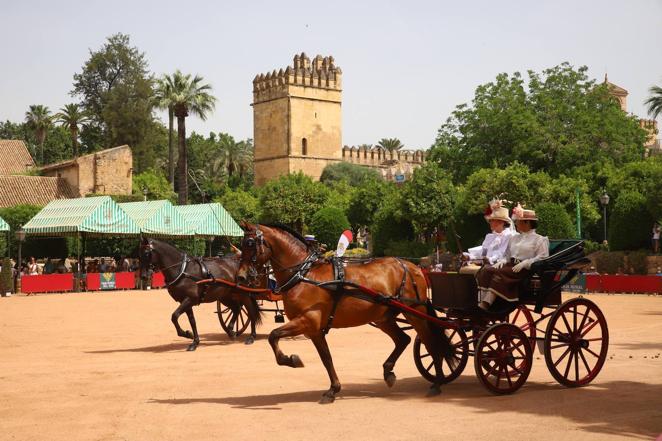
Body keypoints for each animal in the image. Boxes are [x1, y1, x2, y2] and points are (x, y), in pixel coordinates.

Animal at [236, 223, 454, 402]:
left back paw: (436, 383)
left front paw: (291, 360)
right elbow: (326, 358)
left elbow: (273, 336)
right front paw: (333, 389)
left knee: (431, 343)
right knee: (404, 340)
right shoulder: (314, 330)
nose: (241, 277)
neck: (304, 274)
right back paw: (389, 372)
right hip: (383, 318)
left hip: (415, 314)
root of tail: (412, 266)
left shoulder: (307, 321)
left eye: (249, 243)